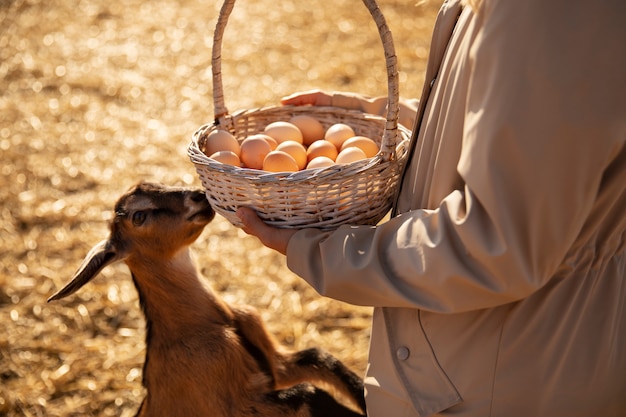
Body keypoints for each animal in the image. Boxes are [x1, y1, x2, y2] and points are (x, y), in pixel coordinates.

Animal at [48, 182, 366, 416]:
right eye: (139, 217)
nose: (199, 196)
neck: (199, 324)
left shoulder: (274, 364)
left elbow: (320, 357)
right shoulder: (239, 404)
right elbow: (309, 392)